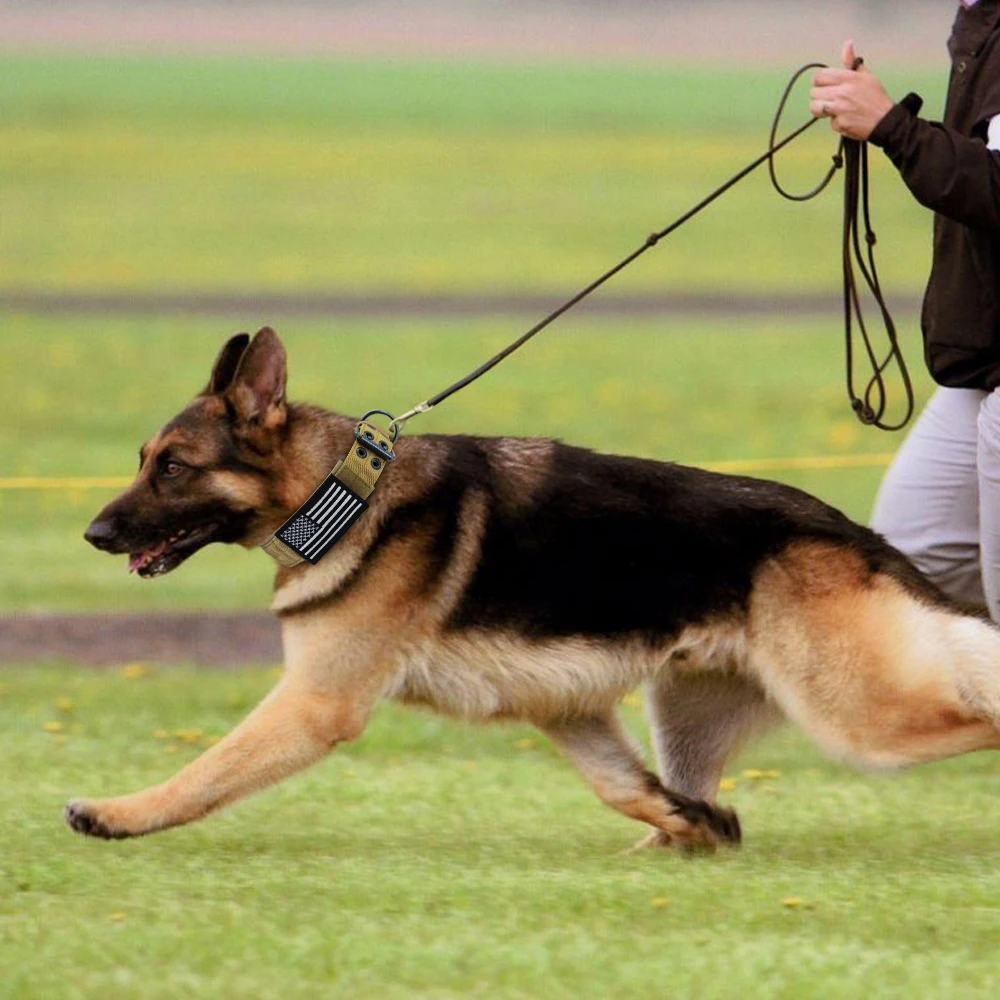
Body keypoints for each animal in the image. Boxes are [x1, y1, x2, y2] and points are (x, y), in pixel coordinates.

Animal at [72, 328, 1000, 852]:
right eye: (142, 461)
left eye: (174, 468)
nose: (94, 535)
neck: (344, 493)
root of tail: (847, 531)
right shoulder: (568, 708)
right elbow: (624, 787)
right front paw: (693, 827)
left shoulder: (312, 705)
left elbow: (205, 772)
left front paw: (119, 814)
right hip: (690, 707)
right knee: (687, 781)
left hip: (855, 714)